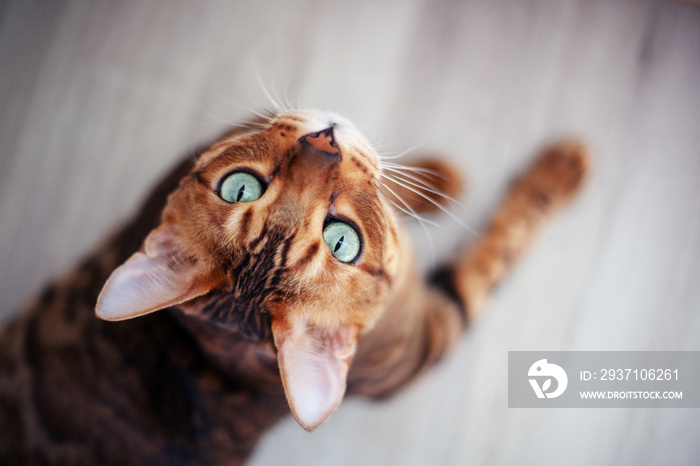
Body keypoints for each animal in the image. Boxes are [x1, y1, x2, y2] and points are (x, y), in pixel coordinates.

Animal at [0, 108, 592, 462]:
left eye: (341, 240)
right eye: (240, 188)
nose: (323, 140)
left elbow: (398, 187)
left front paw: (435, 182)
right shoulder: (432, 335)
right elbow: (503, 242)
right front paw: (562, 169)